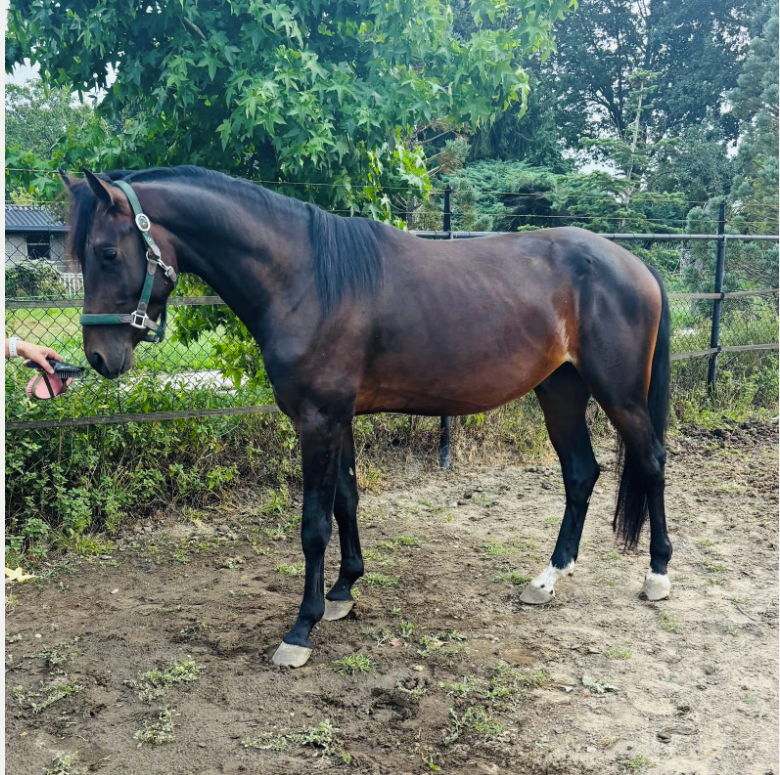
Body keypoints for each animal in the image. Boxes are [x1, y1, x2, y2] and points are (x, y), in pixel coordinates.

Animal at [61, 166, 672, 668]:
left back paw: (657, 574)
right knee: (581, 473)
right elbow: (347, 501)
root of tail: (634, 263)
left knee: (651, 462)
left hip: (618, 394)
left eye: (107, 253)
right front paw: (342, 593)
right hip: (560, 389)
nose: (98, 357)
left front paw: (301, 629)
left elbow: (313, 524)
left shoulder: (319, 420)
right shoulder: (338, 418)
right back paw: (548, 579)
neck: (306, 278)